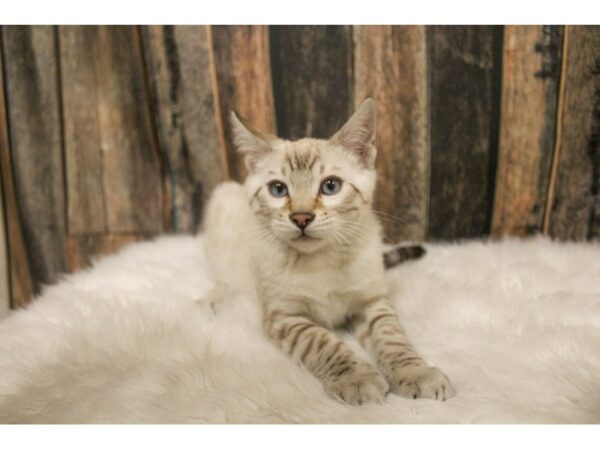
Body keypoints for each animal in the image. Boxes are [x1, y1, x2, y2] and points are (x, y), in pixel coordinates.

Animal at [202, 98, 454, 404]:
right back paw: (215, 299)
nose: (301, 218)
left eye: (330, 186)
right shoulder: (286, 317)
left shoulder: (372, 302)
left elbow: (392, 338)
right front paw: (357, 379)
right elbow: (324, 344)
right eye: (278, 190)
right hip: (223, 199)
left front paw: (416, 373)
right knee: (224, 278)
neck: (320, 260)